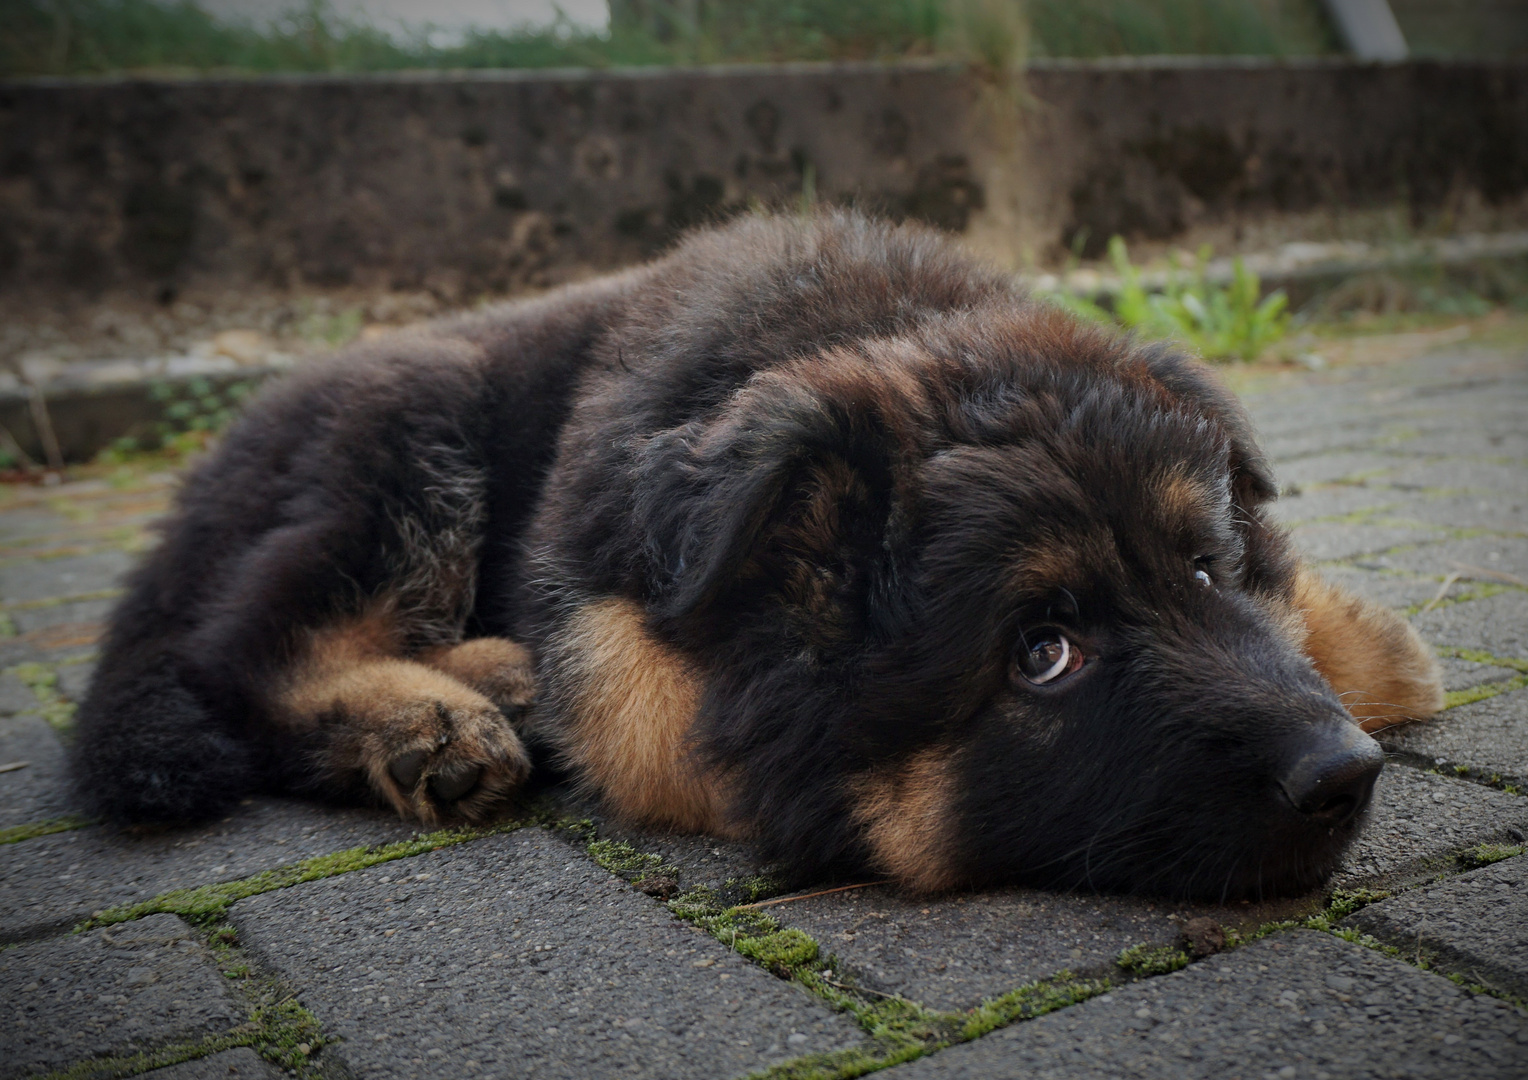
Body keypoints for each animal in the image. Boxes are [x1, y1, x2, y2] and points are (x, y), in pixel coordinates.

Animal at [65, 209, 1436, 898]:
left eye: (1203, 571)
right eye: (1043, 653)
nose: (1340, 777)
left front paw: (1358, 637)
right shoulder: (608, 598)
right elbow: (638, 701)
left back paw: (481, 676)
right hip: (407, 441)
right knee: (249, 652)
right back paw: (432, 719)